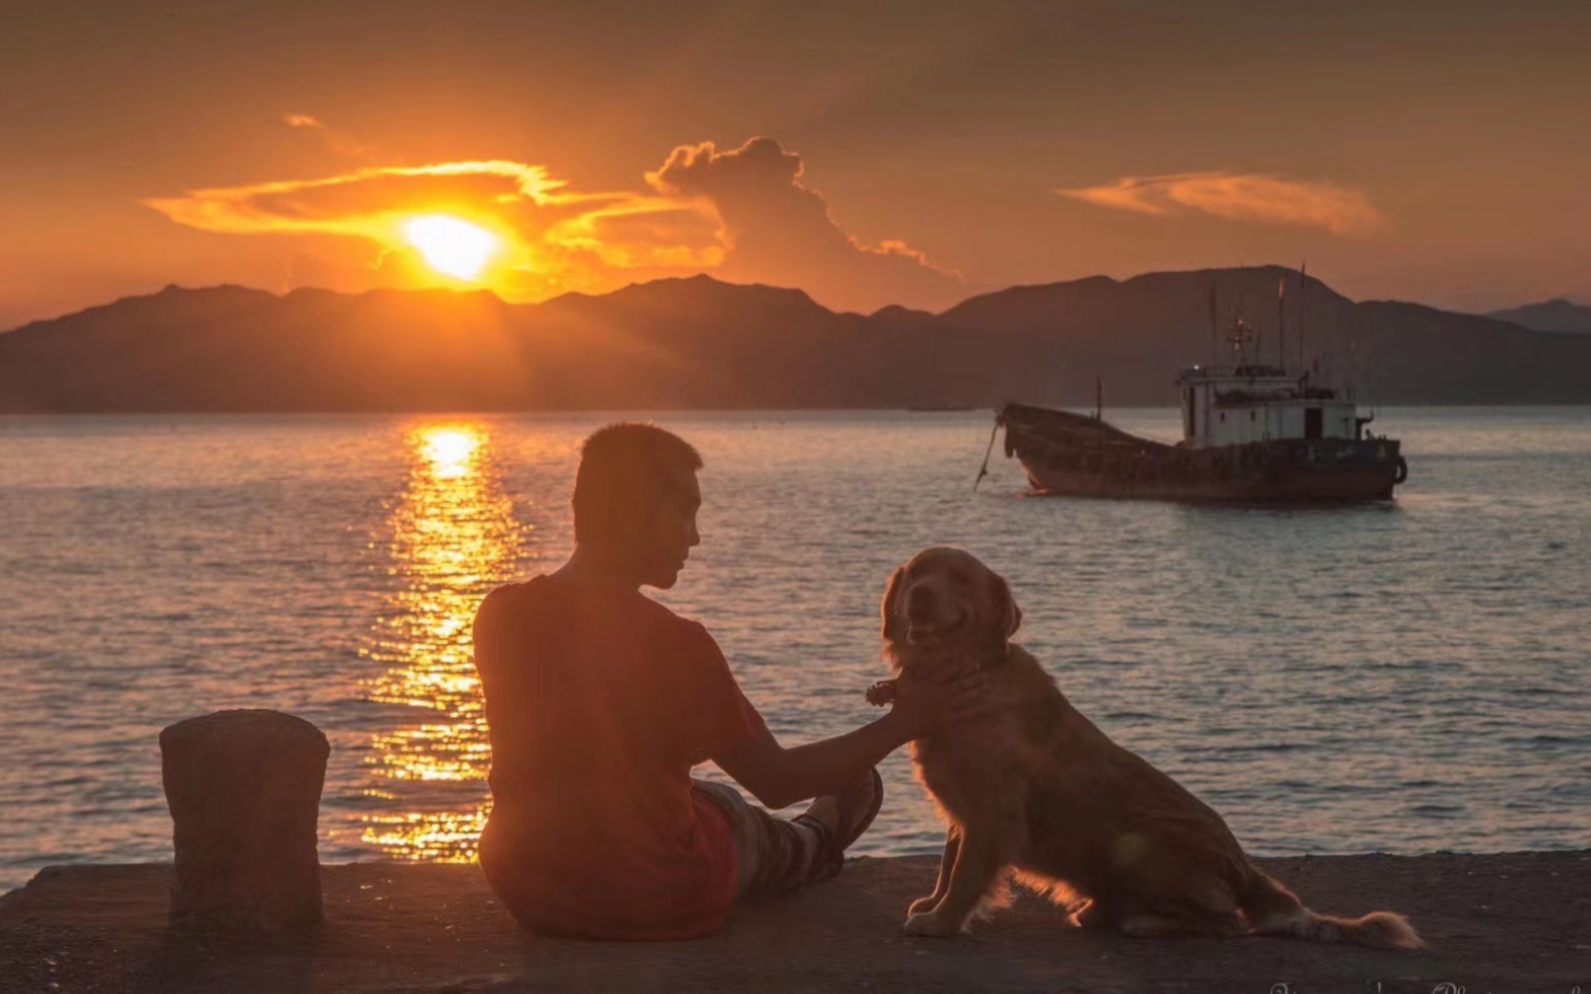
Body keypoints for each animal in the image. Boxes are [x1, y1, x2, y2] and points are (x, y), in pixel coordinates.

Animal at [878, 547, 1425, 947]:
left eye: (961, 579)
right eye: (918, 572)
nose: (921, 595)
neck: (963, 670)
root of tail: (1244, 867)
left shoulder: (995, 808)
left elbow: (966, 872)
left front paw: (942, 921)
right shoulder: (963, 807)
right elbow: (949, 862)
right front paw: (933, 904)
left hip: (1144, 840)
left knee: (1225, 921)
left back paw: (1144, 921)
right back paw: (1102, 910)